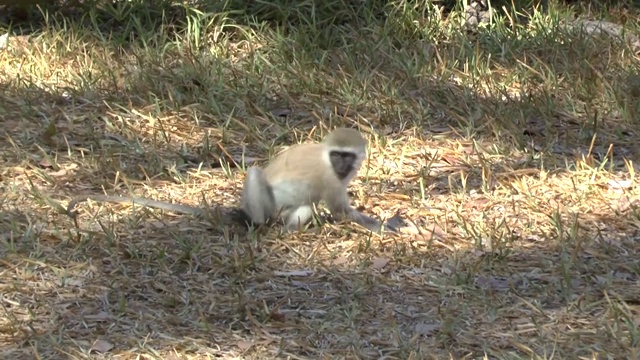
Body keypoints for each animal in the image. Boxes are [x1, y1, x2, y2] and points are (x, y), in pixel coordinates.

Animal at [69, 127, 400, 233]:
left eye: (347, 156)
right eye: (336, 155)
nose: (342, 165)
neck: (327, 162)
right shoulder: (330, 180)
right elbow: (342, 211)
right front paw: (389, 226)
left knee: (304, 206)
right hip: (264, 207)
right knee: (257, 179)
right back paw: (256, 224)